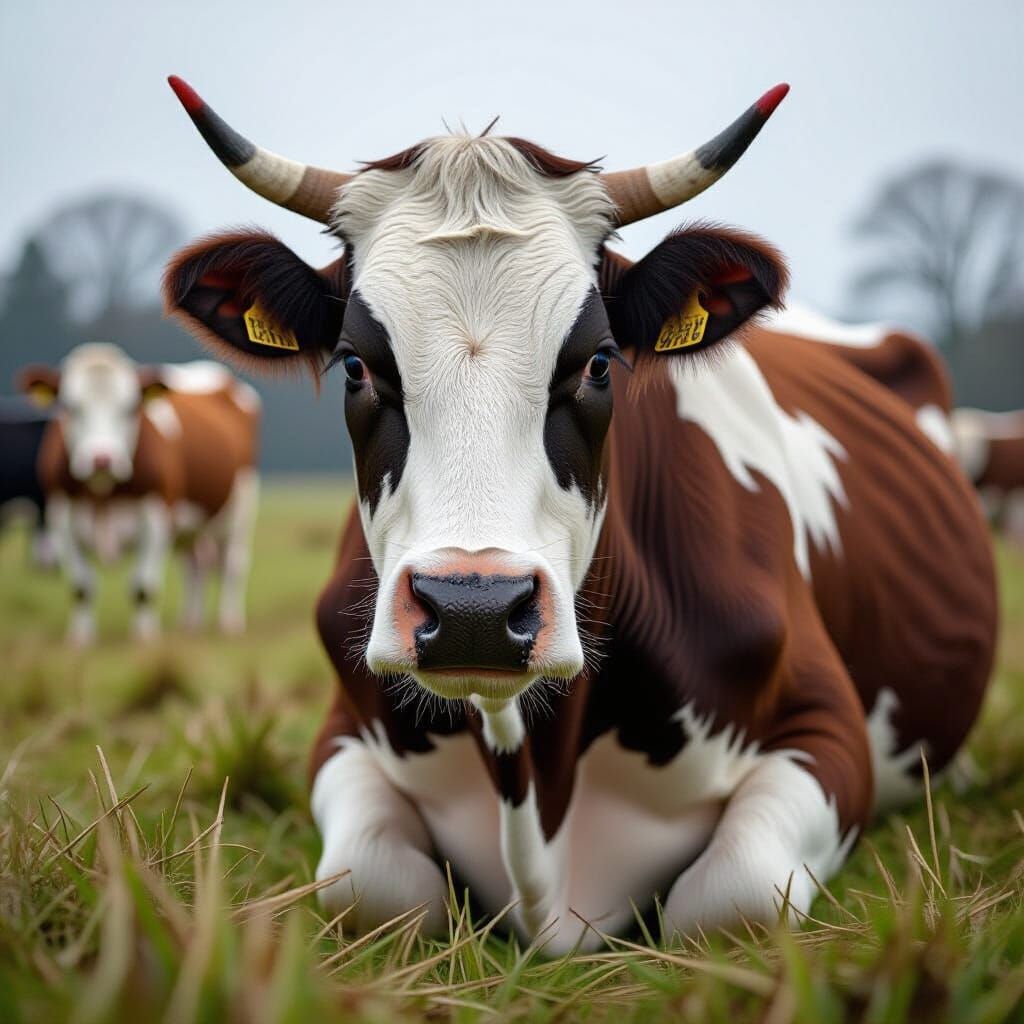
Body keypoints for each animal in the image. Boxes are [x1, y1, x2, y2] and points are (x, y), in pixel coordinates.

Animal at [19, 344, 260, 646]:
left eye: (129, 408)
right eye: (70, 407)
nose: (102, 459)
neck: (104, 491)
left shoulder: (156, 520)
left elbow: (143, 586)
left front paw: (144, 638)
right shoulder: (61, 520)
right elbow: (81, 587)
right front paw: (81, 639)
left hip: (239, 509)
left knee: (232, 565)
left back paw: (230, 622)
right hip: (189, 528)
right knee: (195, 568)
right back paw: (190, 624)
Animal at [163, 76, 997, 952]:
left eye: (599, 363)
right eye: (356, 366)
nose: (473, 609)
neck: (536, 791)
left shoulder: (825, 727)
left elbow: (729, 899)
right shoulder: (342, 736)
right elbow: (373, 887)